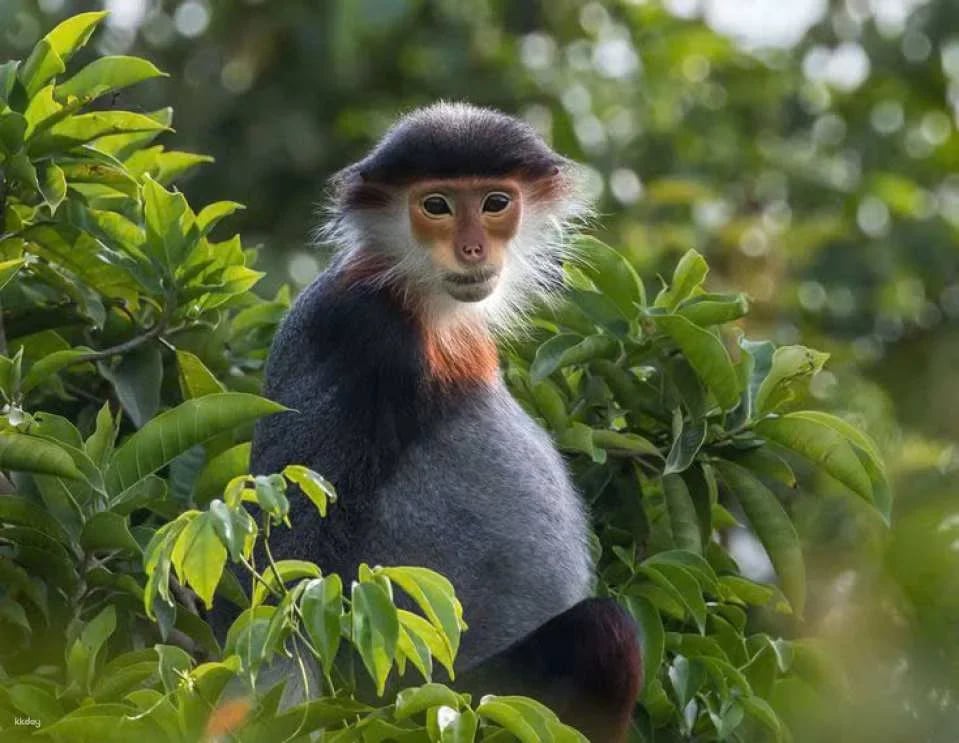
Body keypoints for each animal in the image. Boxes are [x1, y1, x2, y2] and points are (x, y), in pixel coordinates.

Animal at [226, 103, 642, 741]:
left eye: (494, 203)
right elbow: (288, 571)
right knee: (607, 634)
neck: (417, 299)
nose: (472, 250)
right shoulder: (356, 332)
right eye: (437, 206)